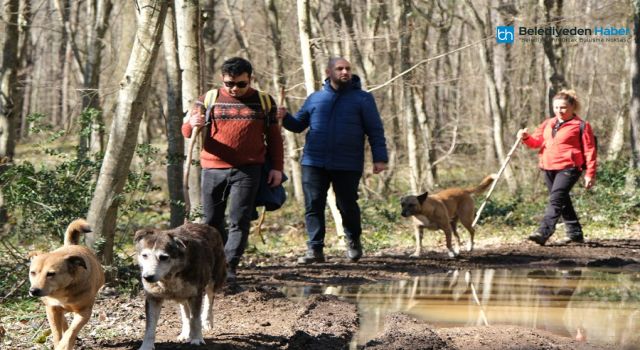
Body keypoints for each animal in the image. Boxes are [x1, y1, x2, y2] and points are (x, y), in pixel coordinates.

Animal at [28, 220, 104, 348]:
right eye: (32, 272)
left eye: (51, 274)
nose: (33, 291)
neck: (62, 291)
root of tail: (71, 245)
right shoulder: (52, 309)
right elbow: (57, 333)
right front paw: (59, 342)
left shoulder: (84, 312)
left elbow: (71, 332)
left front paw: (64, 345)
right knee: (63, 320)